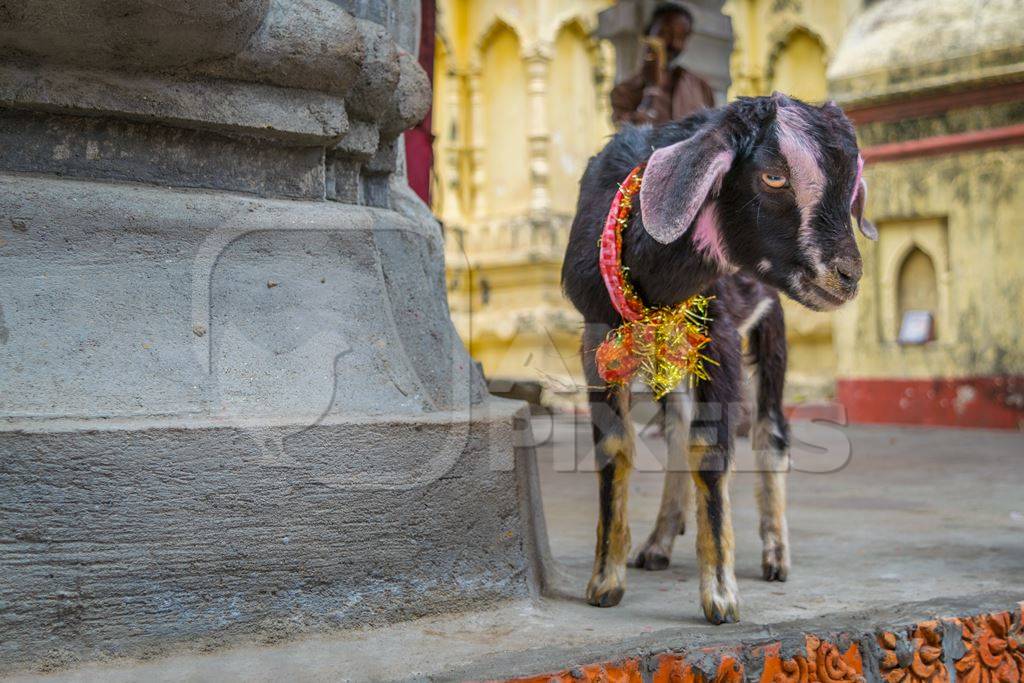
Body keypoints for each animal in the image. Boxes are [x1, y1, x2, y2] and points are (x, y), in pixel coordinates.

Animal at [557, 94, 876, 626]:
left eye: (852, 186)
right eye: (774, 176)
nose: (847, 276)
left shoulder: (720, 334)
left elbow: (711, 451)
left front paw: (721, 598)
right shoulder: (596, 336)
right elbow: (616, 447)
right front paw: (605, 581)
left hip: (770, 325)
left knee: (770, 428)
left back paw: (775, 554)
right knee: (677, 425)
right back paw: (658, 543)